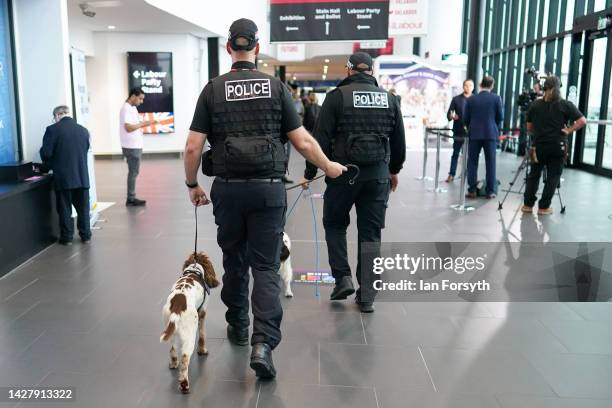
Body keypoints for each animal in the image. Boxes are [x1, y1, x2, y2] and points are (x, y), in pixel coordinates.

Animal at [160, 250, 220, 394]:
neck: (193, 270)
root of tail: (177, 307)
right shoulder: (202, 313)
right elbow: (202, 335)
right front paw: (202, 350)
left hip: (171, 332)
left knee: (173, 350)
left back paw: (173, 364)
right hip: (189, 337)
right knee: (185, 358)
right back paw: (184, 384)